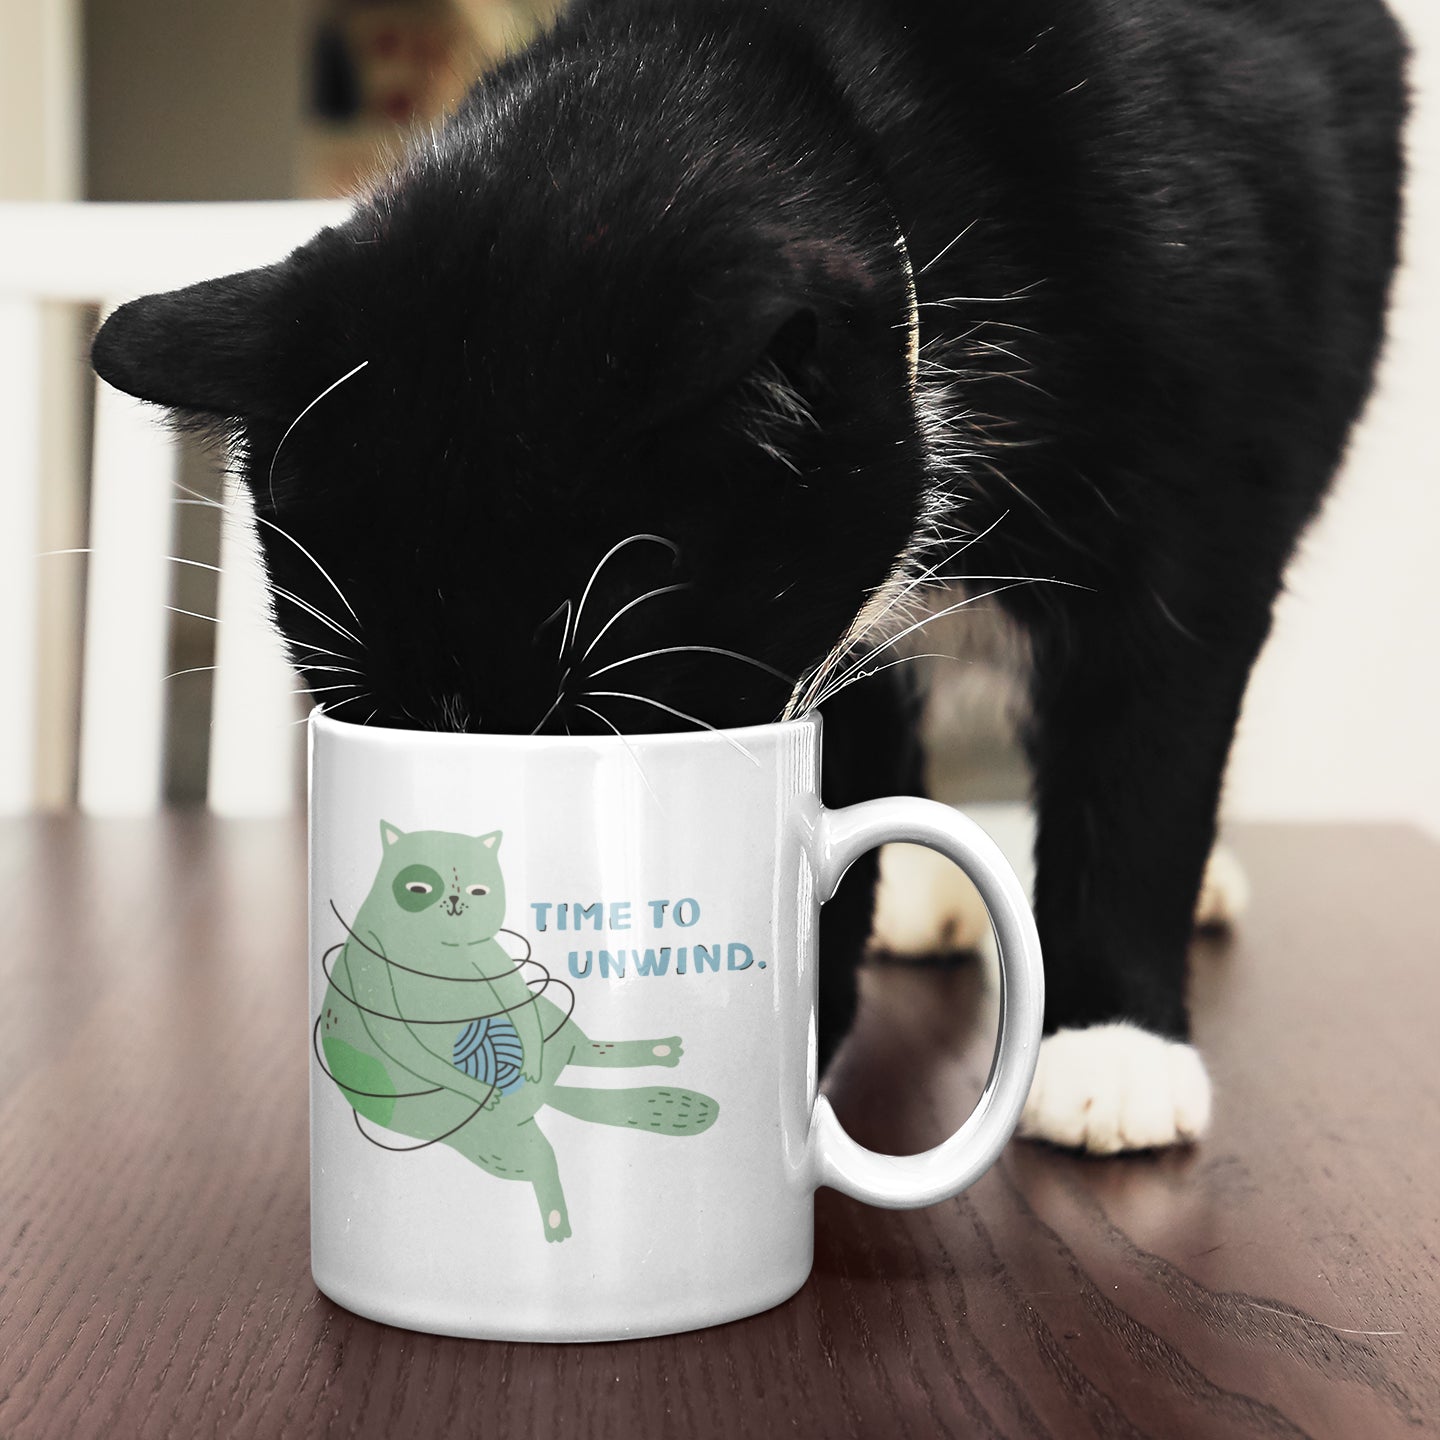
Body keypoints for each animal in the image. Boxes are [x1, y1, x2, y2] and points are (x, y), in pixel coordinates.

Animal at [90, 0, 1405, 1152]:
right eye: (373, 714)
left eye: (610, 725)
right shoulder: (823, 628)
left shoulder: (1194, 479)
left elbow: (1147, 743)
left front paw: (1114, 1045)